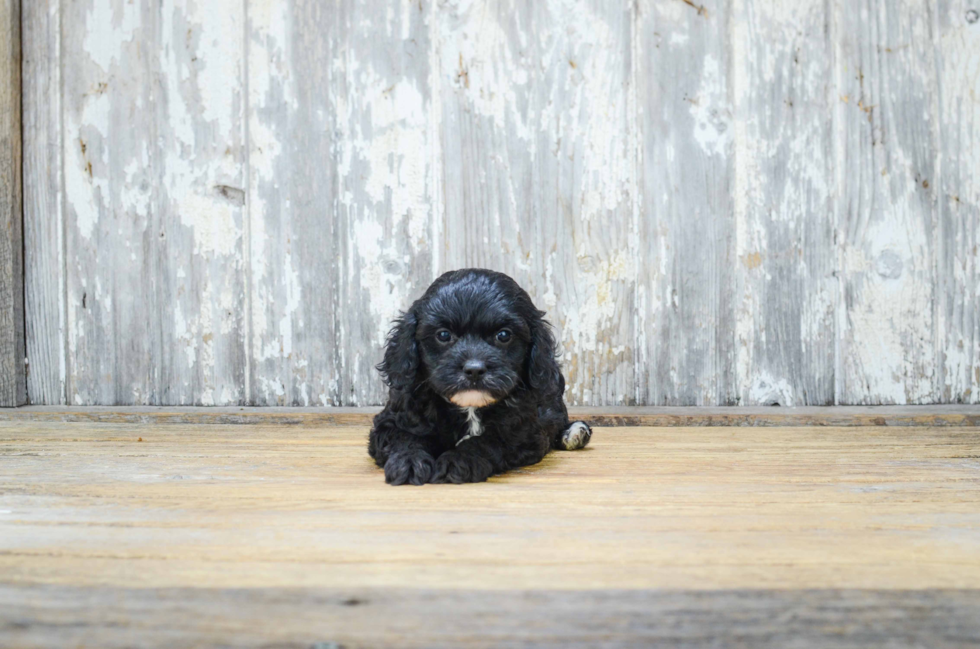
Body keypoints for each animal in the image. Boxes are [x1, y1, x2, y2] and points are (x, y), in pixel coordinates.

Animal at [368, 266, 588, 484]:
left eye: (503, 335)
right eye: (443, 335)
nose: (474, 369)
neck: (470, 407)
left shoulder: (525, 432)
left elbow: (487, 441)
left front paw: (458, 460)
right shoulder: (393, 419)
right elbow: (404, 437)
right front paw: (408, 461)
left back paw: (575, 433)